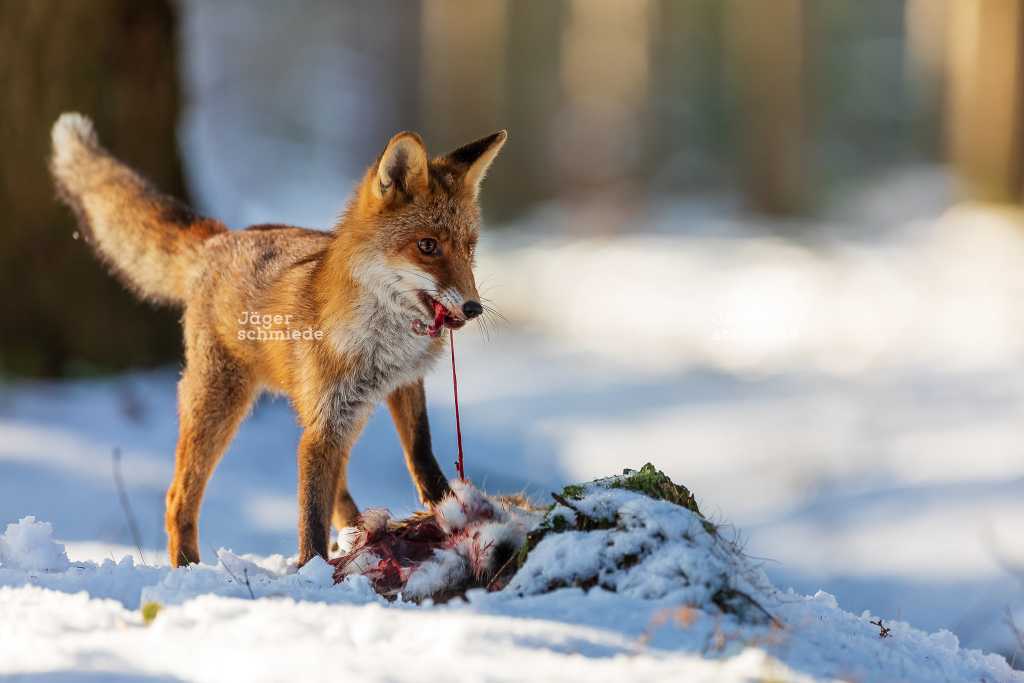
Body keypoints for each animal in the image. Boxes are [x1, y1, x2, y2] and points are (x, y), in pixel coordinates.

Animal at [49, 112, 505, 569]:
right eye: (427, 246)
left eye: (469, 248)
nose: (473, 308)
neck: (385, 344)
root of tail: (220, 239)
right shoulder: (325, 423)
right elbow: (311, 514)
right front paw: (312, 571)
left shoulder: (400, 386)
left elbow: (421, 453)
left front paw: (450, 508)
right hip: (219, 404)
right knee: (178, 498)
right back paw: (188, 565)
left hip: (335, 417)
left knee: (339, 492)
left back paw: (361, 536)